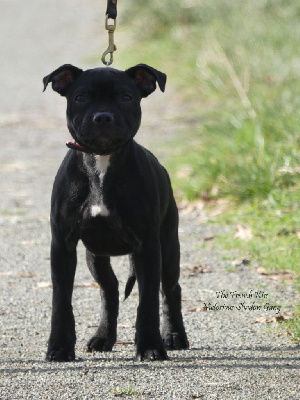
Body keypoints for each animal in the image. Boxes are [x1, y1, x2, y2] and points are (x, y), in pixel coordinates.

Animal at [42, 64, 188, 360]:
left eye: (126, 97)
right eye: (80, 97)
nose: (103, 117)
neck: (102, 160)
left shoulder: (148, 247)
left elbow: (148, 301)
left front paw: (150, 346)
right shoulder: (62, 245)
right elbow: (61, 300)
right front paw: (60, 347)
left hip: (168, 247)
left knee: (170, 289)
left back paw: (174, 335)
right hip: (95, 255)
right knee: (109, 290)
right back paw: (103, 337)